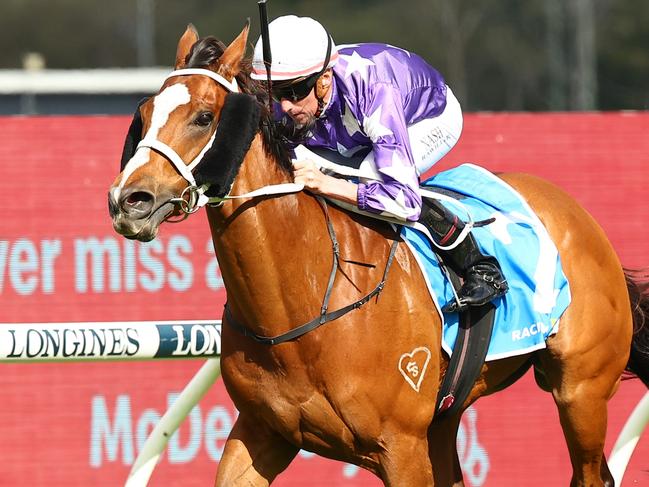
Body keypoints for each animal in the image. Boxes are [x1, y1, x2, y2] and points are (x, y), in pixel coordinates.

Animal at [109, 23, 644, 487]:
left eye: (204, 117)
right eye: (143, 115)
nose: (129, 200)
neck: (302, 304)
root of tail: (576, 213)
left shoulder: (400, 448)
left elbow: (400, 192)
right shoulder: (261, 432)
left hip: (581, 392)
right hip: (446, 419)